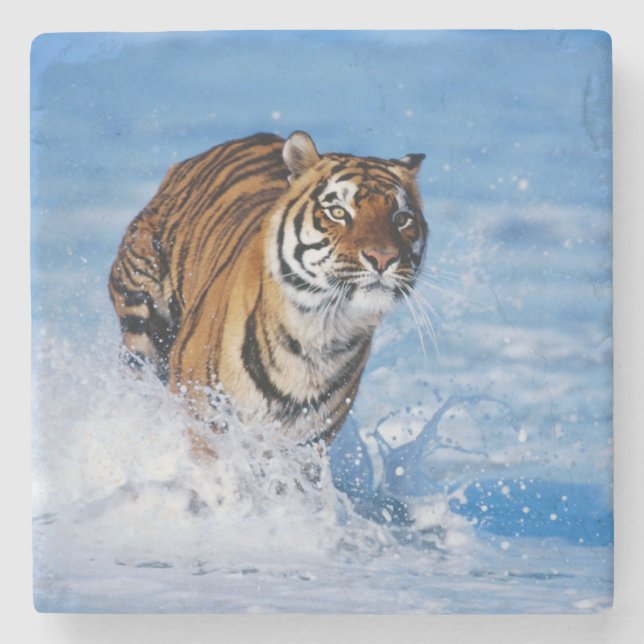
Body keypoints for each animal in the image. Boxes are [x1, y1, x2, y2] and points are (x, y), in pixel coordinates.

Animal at [109, 131, 427, 444]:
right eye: (338, 212)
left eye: (401, 218)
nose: (383, 257)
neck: (320, 332)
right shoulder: (203, 418)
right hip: (141, 319)